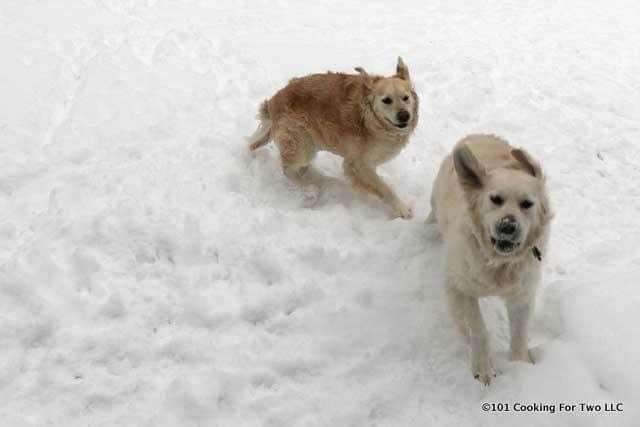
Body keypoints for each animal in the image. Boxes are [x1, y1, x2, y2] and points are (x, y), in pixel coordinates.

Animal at [248, 57, 418, 217]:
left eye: (406, 97)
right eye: (386, 100)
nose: (404, 115)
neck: (371, 120)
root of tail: (272, 102)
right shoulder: (357, 163)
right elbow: (384, 187)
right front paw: (402, 209)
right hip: (302, 143)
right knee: (287, 169)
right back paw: (309, 190)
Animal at [430, 135, 552, 386]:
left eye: (527, 204)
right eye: (495, 199)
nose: (508, 226)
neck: (499, 263)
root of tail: (478, 134)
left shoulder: (522, 295)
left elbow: (519, 333)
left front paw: (521, 365)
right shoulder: (460, 288)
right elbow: (478, 328)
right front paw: (483, 367)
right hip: (435, 197)